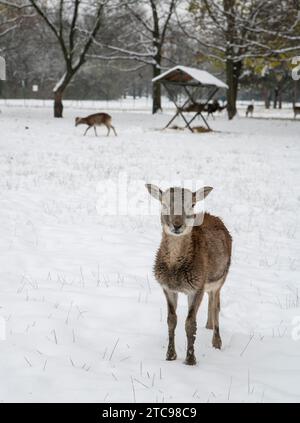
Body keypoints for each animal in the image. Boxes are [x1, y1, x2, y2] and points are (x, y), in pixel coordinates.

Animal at [145, 186, 232, 368]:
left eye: (192, 204)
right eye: (164, 203)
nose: (177, 225)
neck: (175, 270)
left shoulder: (197, 286)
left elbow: (190, 323)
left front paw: (190, 359)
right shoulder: (167, 287)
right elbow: (171, 320)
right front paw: (170, 355)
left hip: (221, 278)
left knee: (216, 305)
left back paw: (216, 341)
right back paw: (208, 325)